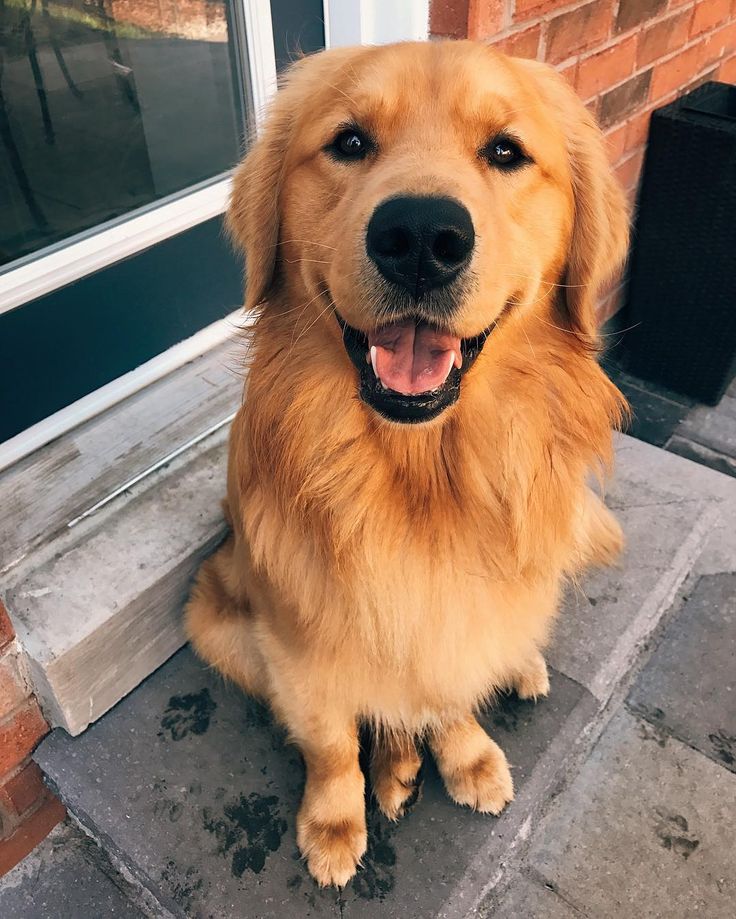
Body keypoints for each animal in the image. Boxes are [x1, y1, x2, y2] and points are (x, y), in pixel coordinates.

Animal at [184, 39, 628, 888]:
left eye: (506, 151)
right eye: (350, 141)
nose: (421, 235)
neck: (425, 475)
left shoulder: (464, 614)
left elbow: (448, 689)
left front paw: (466, 754)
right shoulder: (294, 638)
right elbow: (330, 740)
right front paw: (334, 819)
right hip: (214, 618)